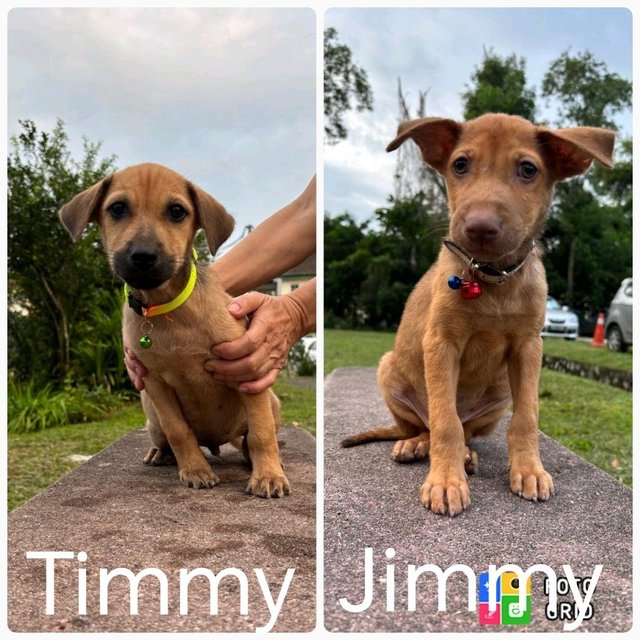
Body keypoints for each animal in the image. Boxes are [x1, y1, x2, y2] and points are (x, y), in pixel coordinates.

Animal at [60, 162, 290, 498]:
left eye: (177, 212)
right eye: (117, 208)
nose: (143, 256)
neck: (167, 308)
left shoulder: (249, 374)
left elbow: (261, 433)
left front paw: (268, 476)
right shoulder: (154, 382)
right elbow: (179, 431)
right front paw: (195, 469)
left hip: (272, 400)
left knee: (253, 437)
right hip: (151, 416)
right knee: (166, 437)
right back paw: (162, 454)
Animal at [340, 114, 616, 516]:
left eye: (528, 169)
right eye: (460, 165)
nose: (479, 228)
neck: (492, 278)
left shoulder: (529, 347)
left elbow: (526, 416)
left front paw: (529, 470)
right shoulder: (441, 344)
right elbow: (445, 421)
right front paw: (445, 481)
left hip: (498, 396)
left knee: (467, 430)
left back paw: (467, 455)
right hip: (389, 369)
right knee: (426, 427)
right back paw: (416, 445)